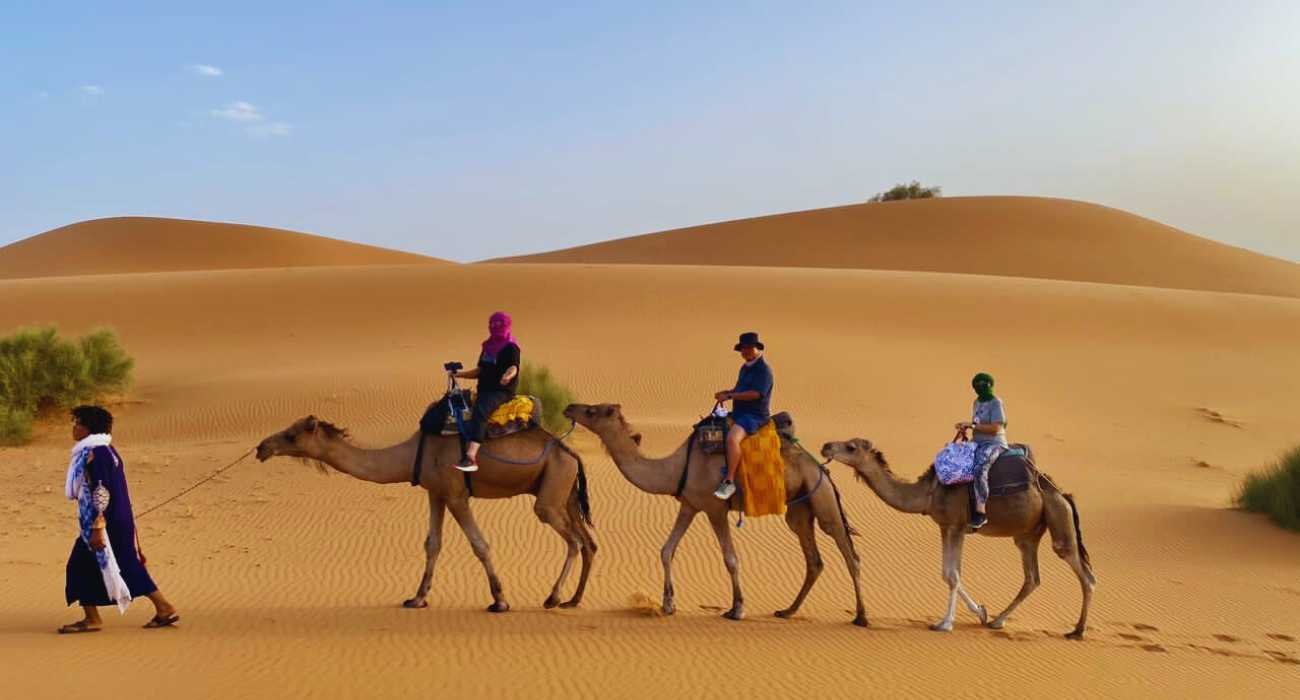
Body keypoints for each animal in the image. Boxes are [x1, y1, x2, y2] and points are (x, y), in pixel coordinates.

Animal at [254, 413, 598, 608]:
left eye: (291, 435)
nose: (262, 447)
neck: (412, 455)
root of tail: (571, 453)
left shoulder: (457, 494)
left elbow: (480, 545)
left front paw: (499, 600)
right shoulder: (436, 493)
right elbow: (432, 544)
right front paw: (417, 598)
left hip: (550, 495)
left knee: (573, 540)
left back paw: (553, 598)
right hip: (563, 491)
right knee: (589, 542)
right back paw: (574, 600)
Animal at [564, 400, 868, 624]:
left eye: (592, 411)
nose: (569, 407)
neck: (675, 467)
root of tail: (821, 467)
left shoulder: (714, 509)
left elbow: (730, 558)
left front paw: (736, 609)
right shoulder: (689, 505)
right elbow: (666, 550)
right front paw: (668, 604)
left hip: (823, 498)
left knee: (849, 553)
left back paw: (861, 617)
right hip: (799, 510)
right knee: (814, 560)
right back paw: (787, 611)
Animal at [826, 439, 1092, 634]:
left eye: (851, 447)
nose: (826, 446)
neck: (929, 492)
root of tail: (1061, 493)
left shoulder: (956, 526)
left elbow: (953, 575)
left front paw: (945, 624)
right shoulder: (945, 527)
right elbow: (947, 573)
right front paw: (981, 612)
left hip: (1058, 517)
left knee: (1083, 573)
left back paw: (1077, 631)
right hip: (1028, 534)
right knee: (1032, 578)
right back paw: (997, 621)